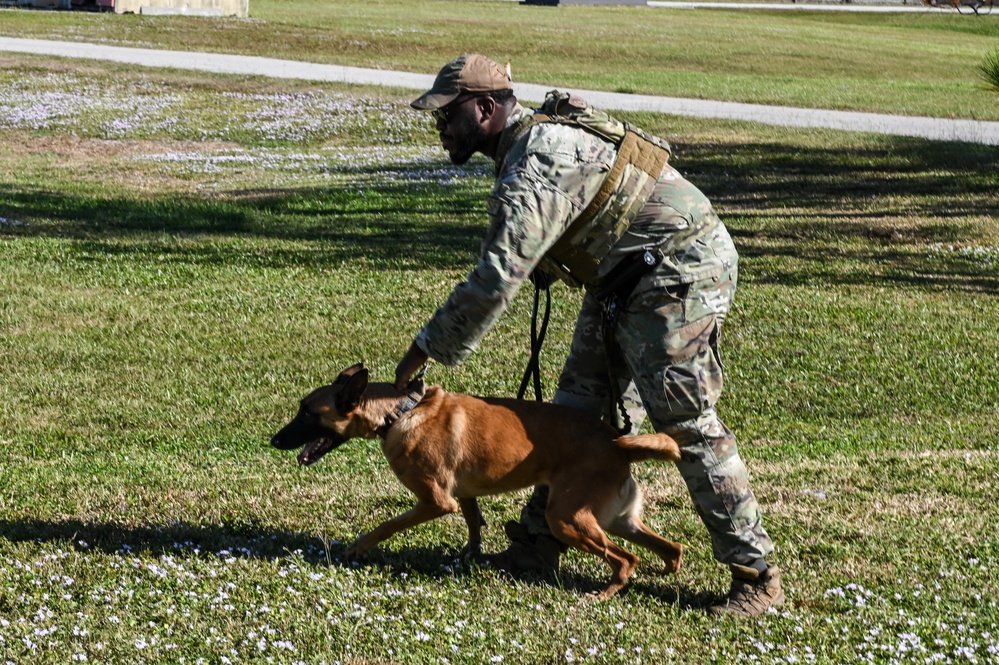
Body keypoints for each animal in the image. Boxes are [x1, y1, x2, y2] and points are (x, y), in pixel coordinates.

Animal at [270, 364, 684, 600]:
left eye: (308, 413)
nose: (274, 441)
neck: (400, 412)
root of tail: (618, 446)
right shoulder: (464, 495)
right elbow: (473, 525)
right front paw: (469, 556)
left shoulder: (437, 501)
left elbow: (388, 524)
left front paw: (359, 547)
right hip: (613, 520)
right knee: (670, 547)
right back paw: (664, 572)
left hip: (567, 519)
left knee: (626, 558)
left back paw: (604, 593)